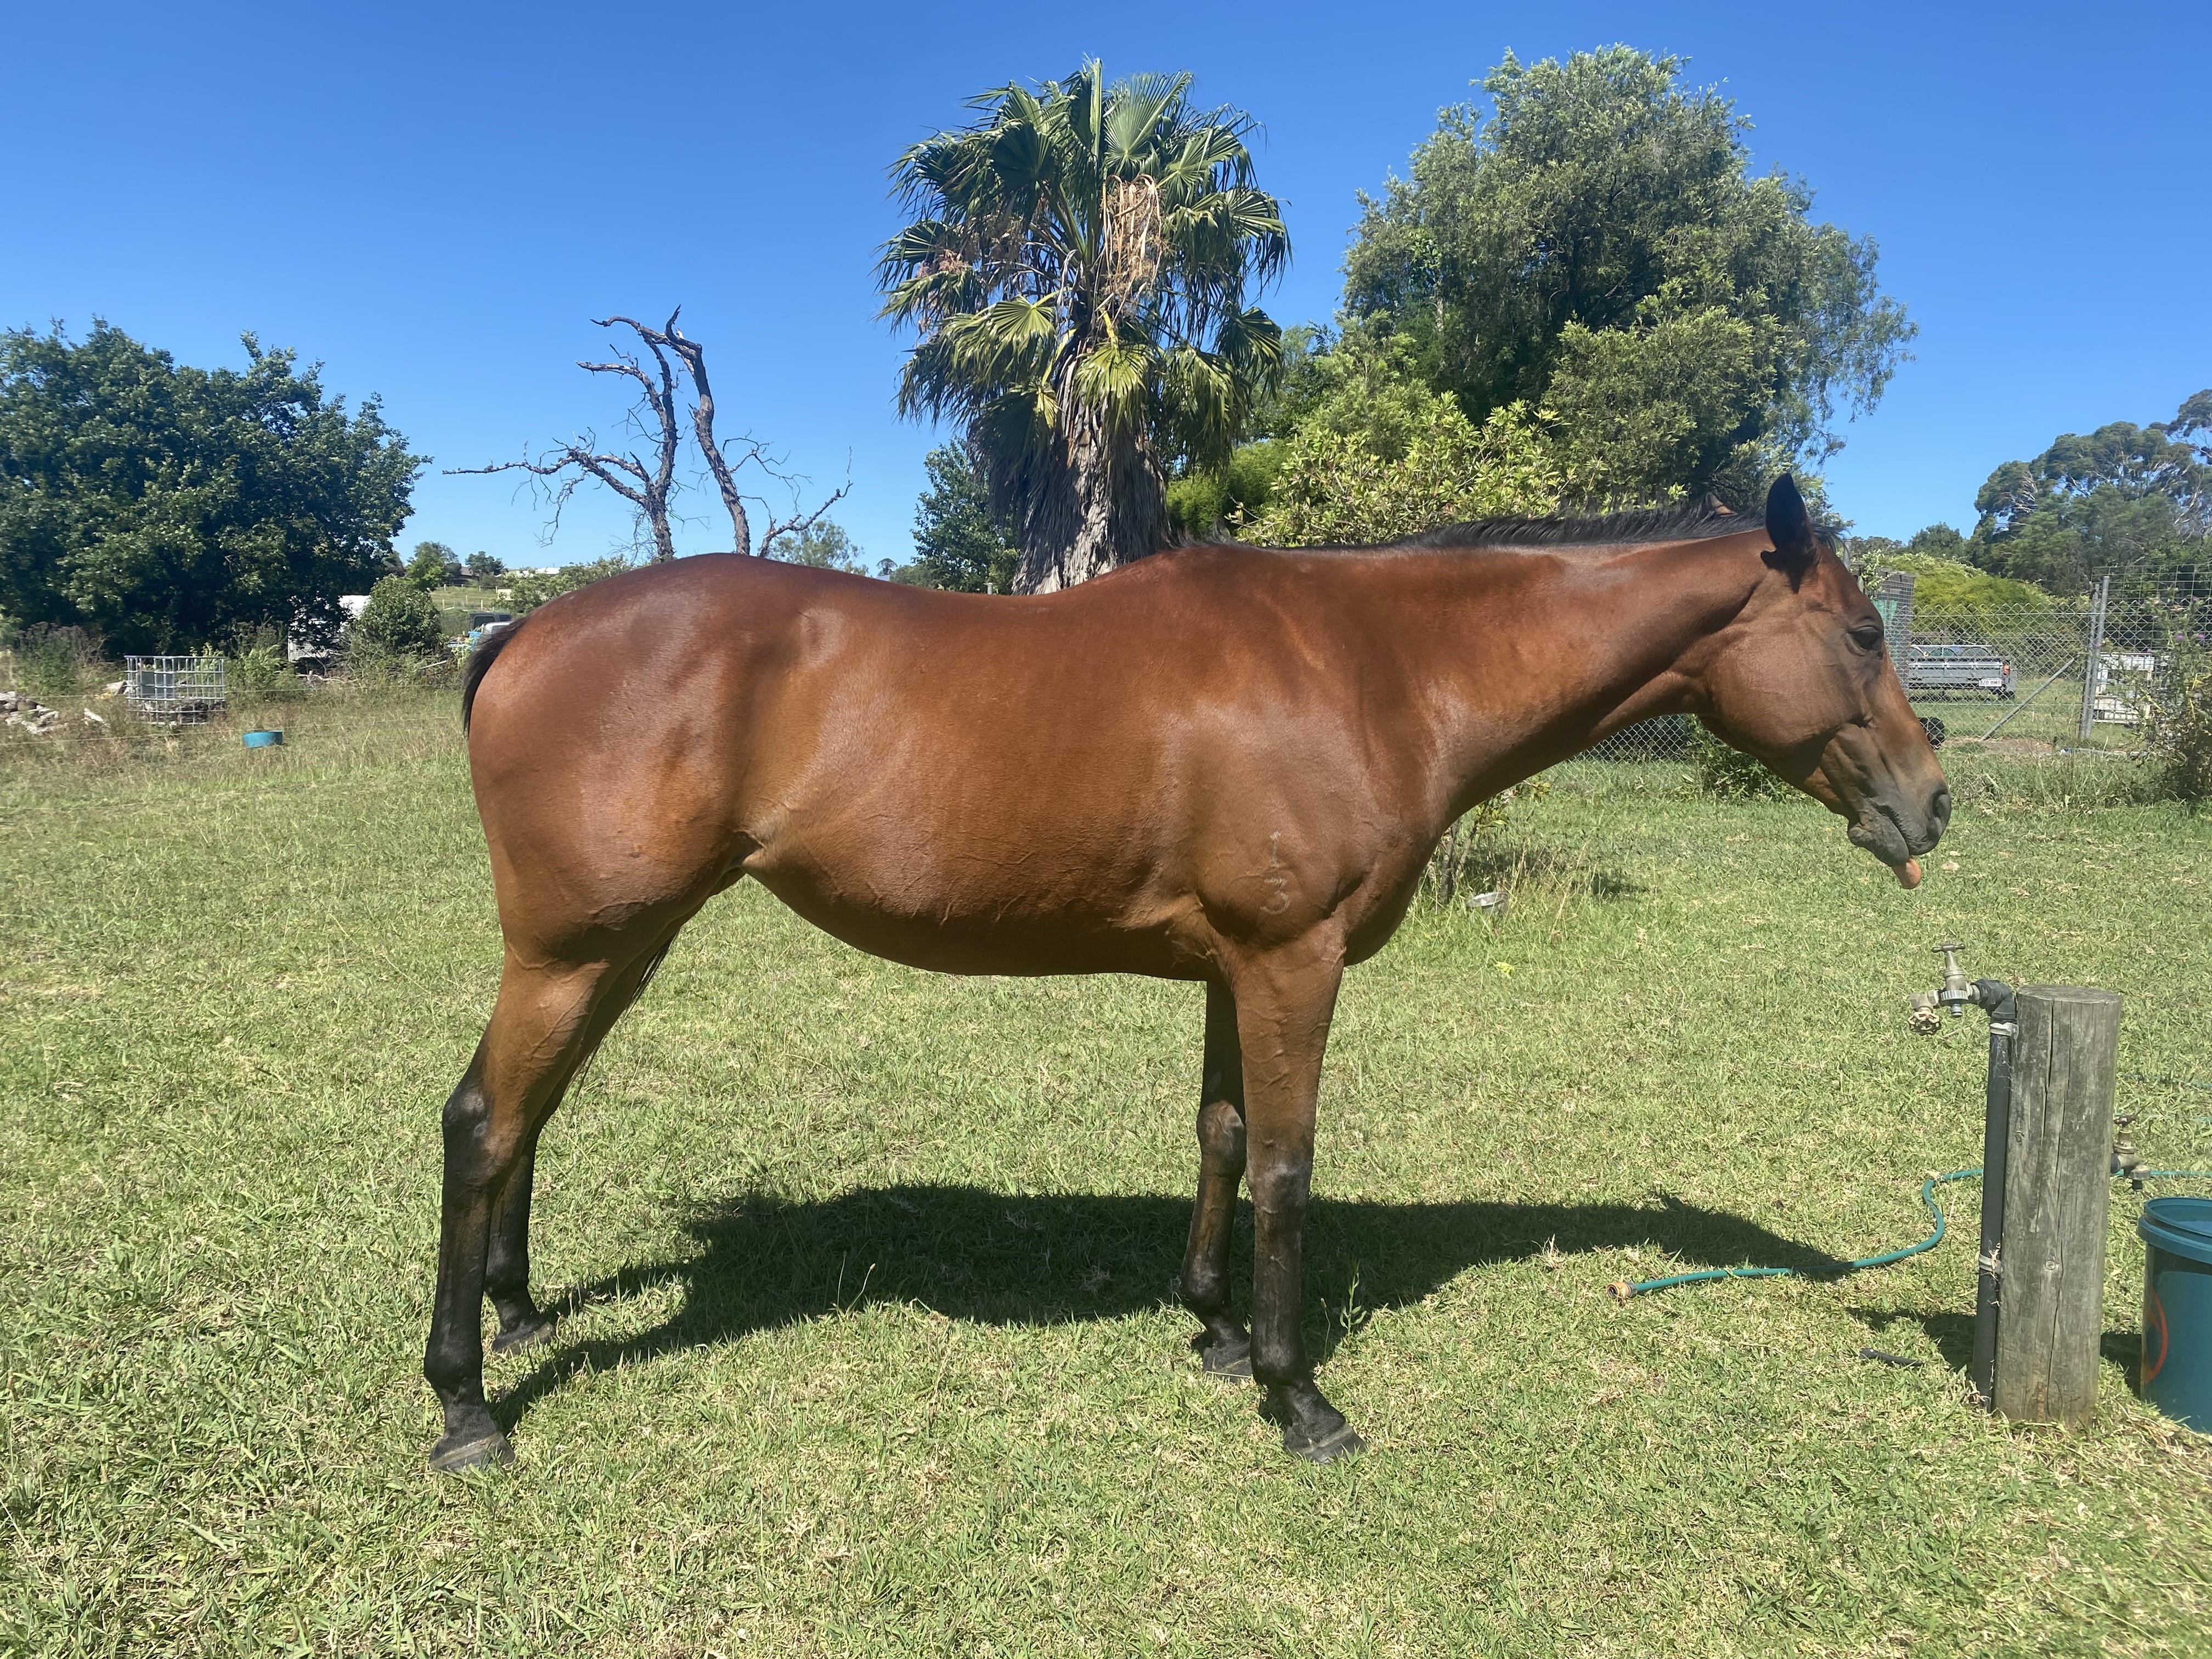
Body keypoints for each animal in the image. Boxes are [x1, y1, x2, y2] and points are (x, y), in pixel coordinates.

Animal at [425, 474, 1949, 1471]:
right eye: (1865, 634)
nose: (1930, 807)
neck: (1375, 666)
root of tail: (523, 630)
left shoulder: (1236, 967)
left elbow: (1219, 1134)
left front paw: (1211, 1330)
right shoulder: (1295, 961)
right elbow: (1285, 1164)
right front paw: (1297, 1397)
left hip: (619, 948)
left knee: (532, 1120)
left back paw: (520, 1309)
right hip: (576, 950)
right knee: (484, 1124)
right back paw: (465, 1404)